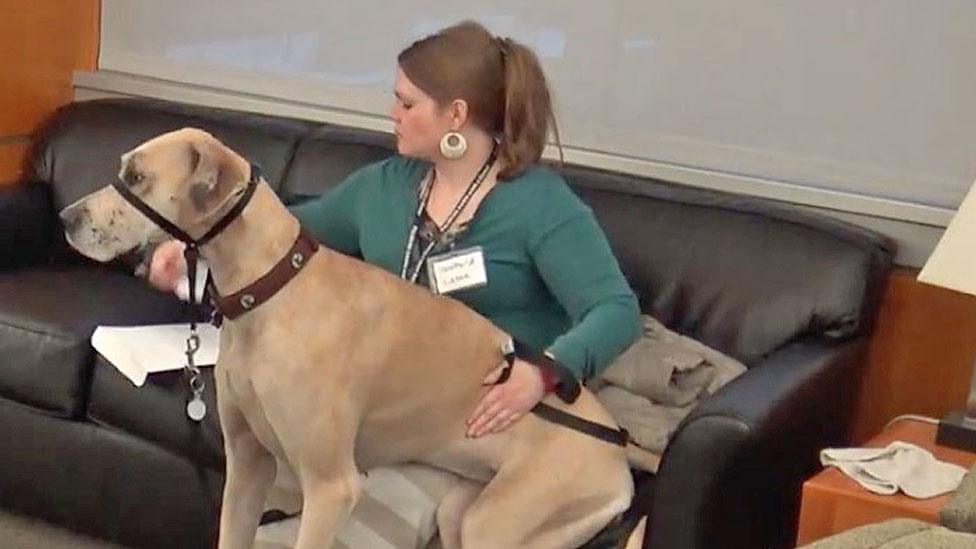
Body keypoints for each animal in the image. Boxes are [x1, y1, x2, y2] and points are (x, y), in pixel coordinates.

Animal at [63, 128, 640, 548]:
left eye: (138, 177)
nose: (67, 217)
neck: (271, 290)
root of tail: (621, 459)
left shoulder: (330, 489)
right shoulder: (247, 463)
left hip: (500, 524)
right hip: (464, 511)